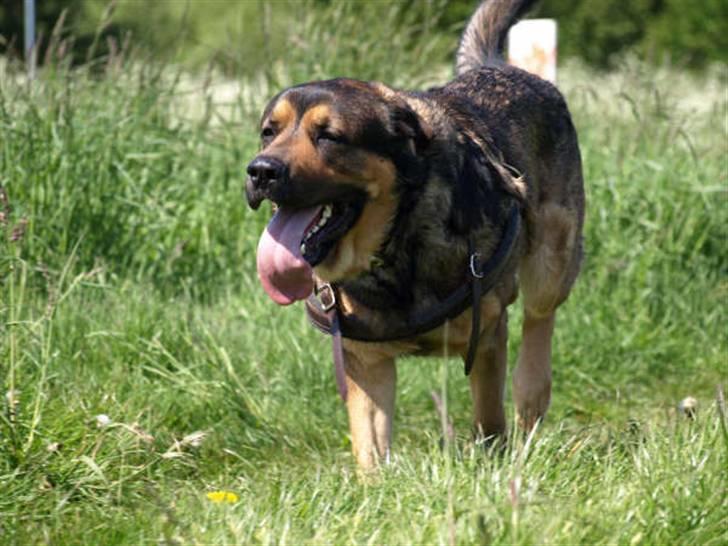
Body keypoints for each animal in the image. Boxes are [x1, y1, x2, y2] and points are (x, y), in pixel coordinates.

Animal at [247, 0, 584, 468]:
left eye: (329, 136)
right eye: (269, 132)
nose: (260, 171)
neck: (395, 245)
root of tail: (497, 65)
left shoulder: (487, 333)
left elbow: (488, 418)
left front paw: (491, 461)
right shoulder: (364, 361)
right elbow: (370, 446)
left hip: (553, 260)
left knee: (539, 322)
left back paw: (531, 391)